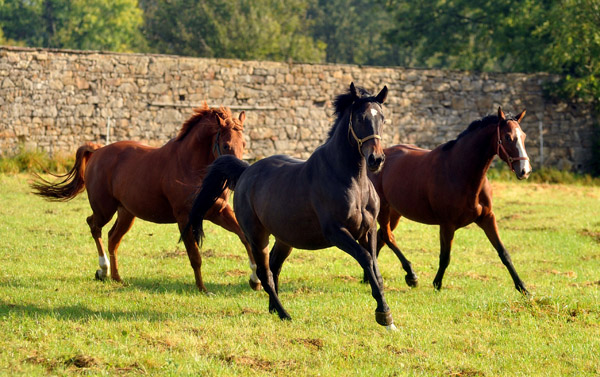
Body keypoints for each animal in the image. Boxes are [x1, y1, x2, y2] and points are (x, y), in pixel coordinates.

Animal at [31, 104, 260, 292]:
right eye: (226, 145)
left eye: (244, 144)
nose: (239, 177)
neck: (191, 166)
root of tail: (97, 151)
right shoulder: (184, 218)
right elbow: (195, 256)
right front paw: (202, 289)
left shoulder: (218, 211)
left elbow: (245, 237)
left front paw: (255, 280)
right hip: (104, 209)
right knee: (94, 226)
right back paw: (103, 270)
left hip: (126, 213)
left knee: (113, 237)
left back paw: (116, 277)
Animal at [185, 83, 396, 328]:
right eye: (361, 118)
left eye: (382, 118)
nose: (376, 159)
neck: (352, 181)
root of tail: (246, 171)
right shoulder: (337, 232)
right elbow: (365, 259)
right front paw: (384, 314)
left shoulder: (368, 230)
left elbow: (375, 268)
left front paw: (386, 315)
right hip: (257, 237)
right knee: (265, 273)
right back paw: (284, 313)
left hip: (284, 239)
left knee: (274, 267)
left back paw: (273, 309)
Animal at [372, 106, 532, 294]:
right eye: (507, 137)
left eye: (523, 136)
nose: (525, 171)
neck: (460, 171)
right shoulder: (447, 224)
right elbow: (445, 257)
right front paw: (437, 284)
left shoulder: (487, 218)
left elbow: (504, 253)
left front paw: (523, 288)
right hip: (383, 210)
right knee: (388, 237)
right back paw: (411, 275)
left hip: (395, 213)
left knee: (381, 237)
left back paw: (370, 278)